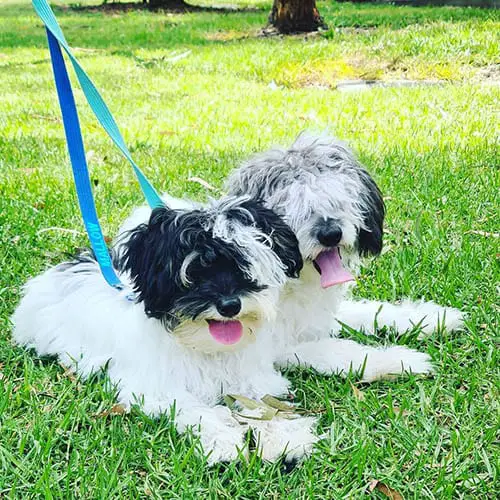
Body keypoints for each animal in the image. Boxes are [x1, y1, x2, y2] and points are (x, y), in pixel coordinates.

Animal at [225, 131, 462, 380]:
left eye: (336, 199)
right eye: (291, 208)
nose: (330, 234)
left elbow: (371, 311)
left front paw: (430, 317)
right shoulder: (277, 347)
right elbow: (340, 351)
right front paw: (400, 359)